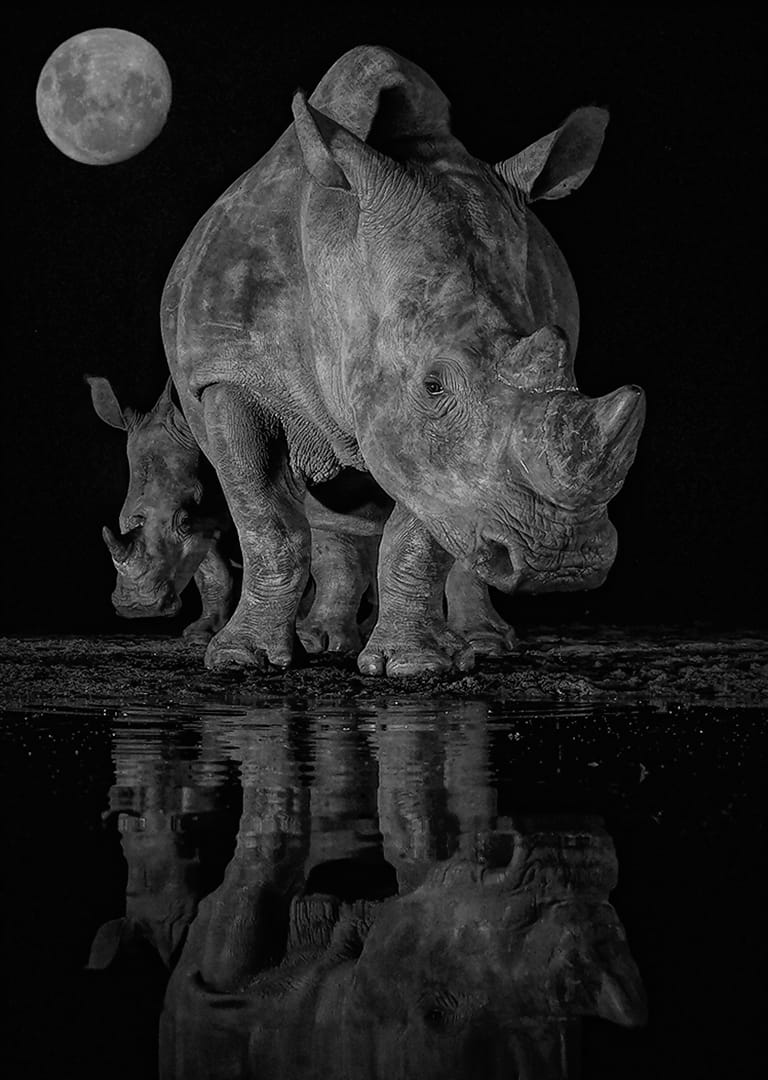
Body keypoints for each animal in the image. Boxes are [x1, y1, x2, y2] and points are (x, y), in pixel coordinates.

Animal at [160, 44, 645, 676]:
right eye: (434, 384)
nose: (564, 561)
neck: (341, 252)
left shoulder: (427, 446)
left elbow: (425, 520)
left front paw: (414, 666)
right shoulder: (226, 374)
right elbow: (266, 518)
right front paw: (242, 659)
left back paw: (480, 645)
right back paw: (325, 641)